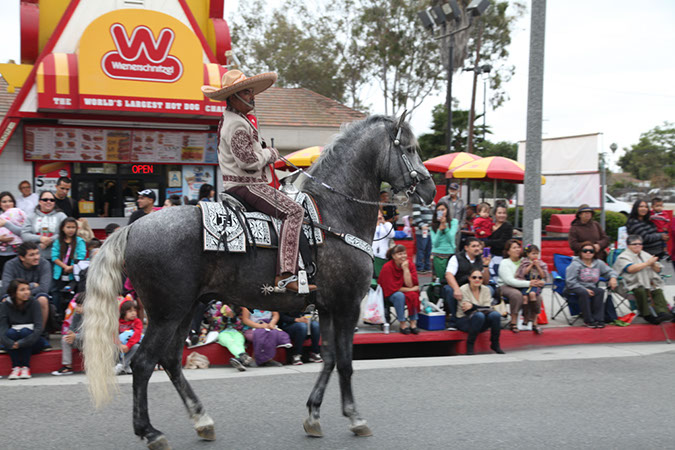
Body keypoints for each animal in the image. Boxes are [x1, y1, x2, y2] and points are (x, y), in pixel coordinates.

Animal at [82, 114, 436, 448]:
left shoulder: (326, 306)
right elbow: (346, 363)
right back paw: (150, 431)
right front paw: (354, 417)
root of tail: (132, 228)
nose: (430, 190)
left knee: (169, 360)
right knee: (143, 363)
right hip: (166, 313)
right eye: (408, 148)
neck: (336, 214)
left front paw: (313, 414)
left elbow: (329, 359)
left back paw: (202, 420)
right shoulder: (346, 305)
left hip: (186, 308)